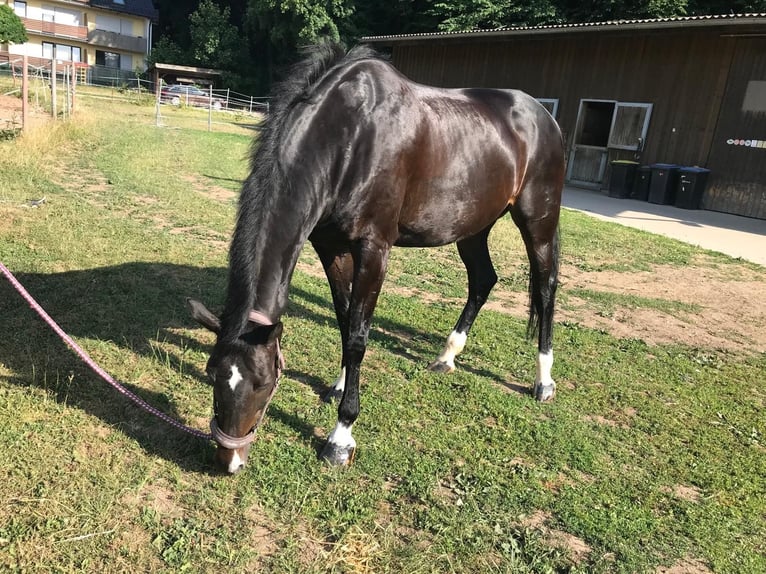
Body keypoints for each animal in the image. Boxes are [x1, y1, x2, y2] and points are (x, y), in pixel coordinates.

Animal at [189, 42, 568, 476]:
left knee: (545, 287)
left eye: (263, 382)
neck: (349, 138)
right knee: (483, 280)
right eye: (212, 373)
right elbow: (344, 319)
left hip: (538, 221)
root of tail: (544, 117)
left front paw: (340, 437)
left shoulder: (374, 250)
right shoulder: (330, 247)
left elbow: (358, 335)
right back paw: (446, 357)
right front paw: (338, 386)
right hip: (473, 226)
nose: (229, 461)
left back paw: (543, 381)